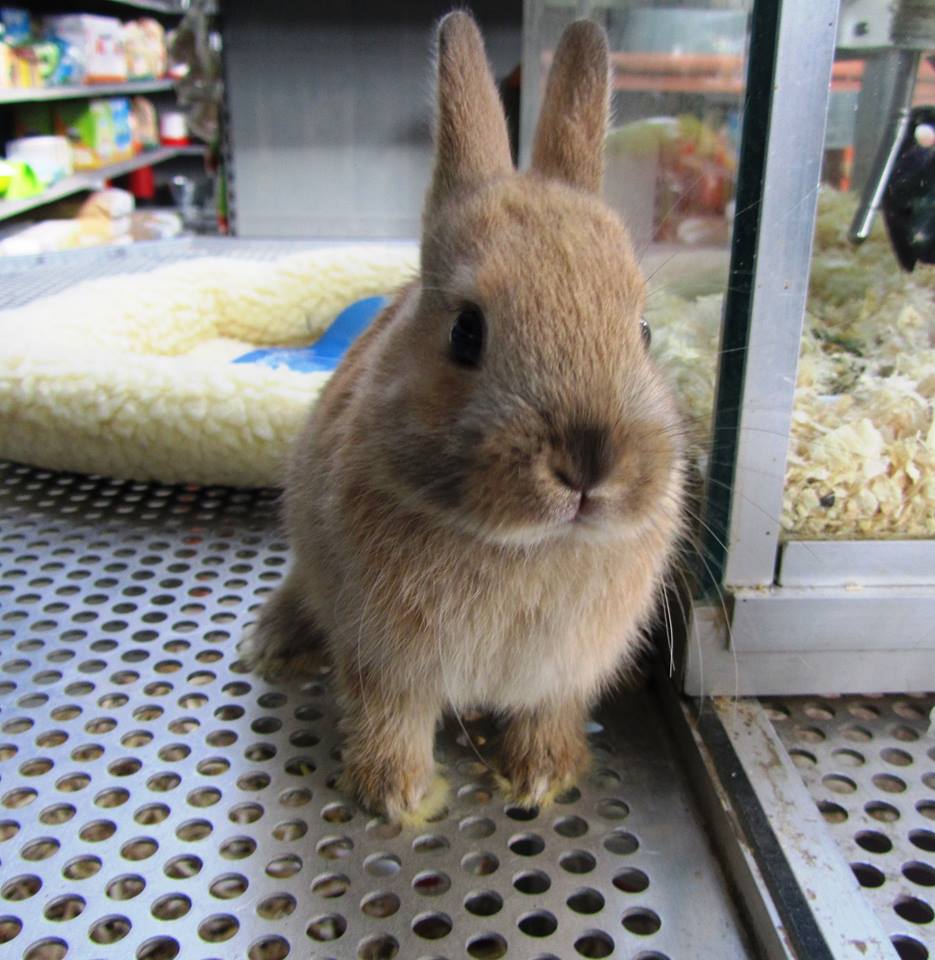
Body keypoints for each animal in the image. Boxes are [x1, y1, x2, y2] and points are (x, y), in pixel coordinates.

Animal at [243, 11, 688, 820]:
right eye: (465, 332)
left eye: (642, 331)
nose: (589, 465)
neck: (525, 547)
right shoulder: (384, 659)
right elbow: (390, 716)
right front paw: (397, 796)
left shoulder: (564, 672)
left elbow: (549, 713)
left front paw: (542, 775)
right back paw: (273, 642)